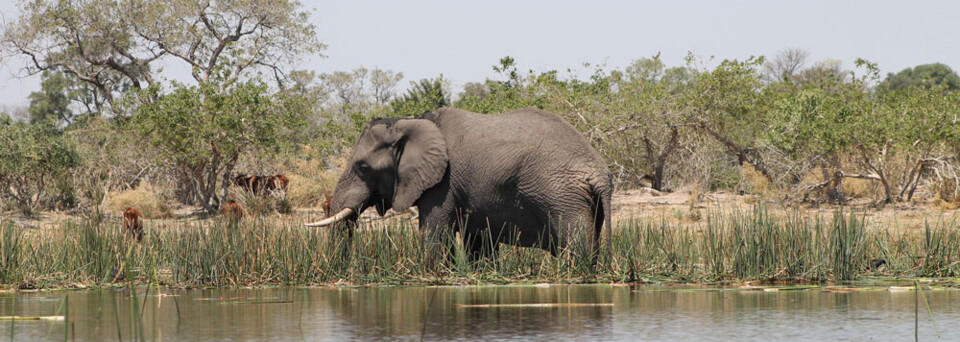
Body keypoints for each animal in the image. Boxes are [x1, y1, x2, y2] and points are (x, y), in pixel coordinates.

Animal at [304, 107, 612, 262]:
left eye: (363, 167)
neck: (412, 121)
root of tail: (600, 173)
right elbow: (479, 242)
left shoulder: (443, 184)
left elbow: (433, 235)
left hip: (563, 196)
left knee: (576, 244)